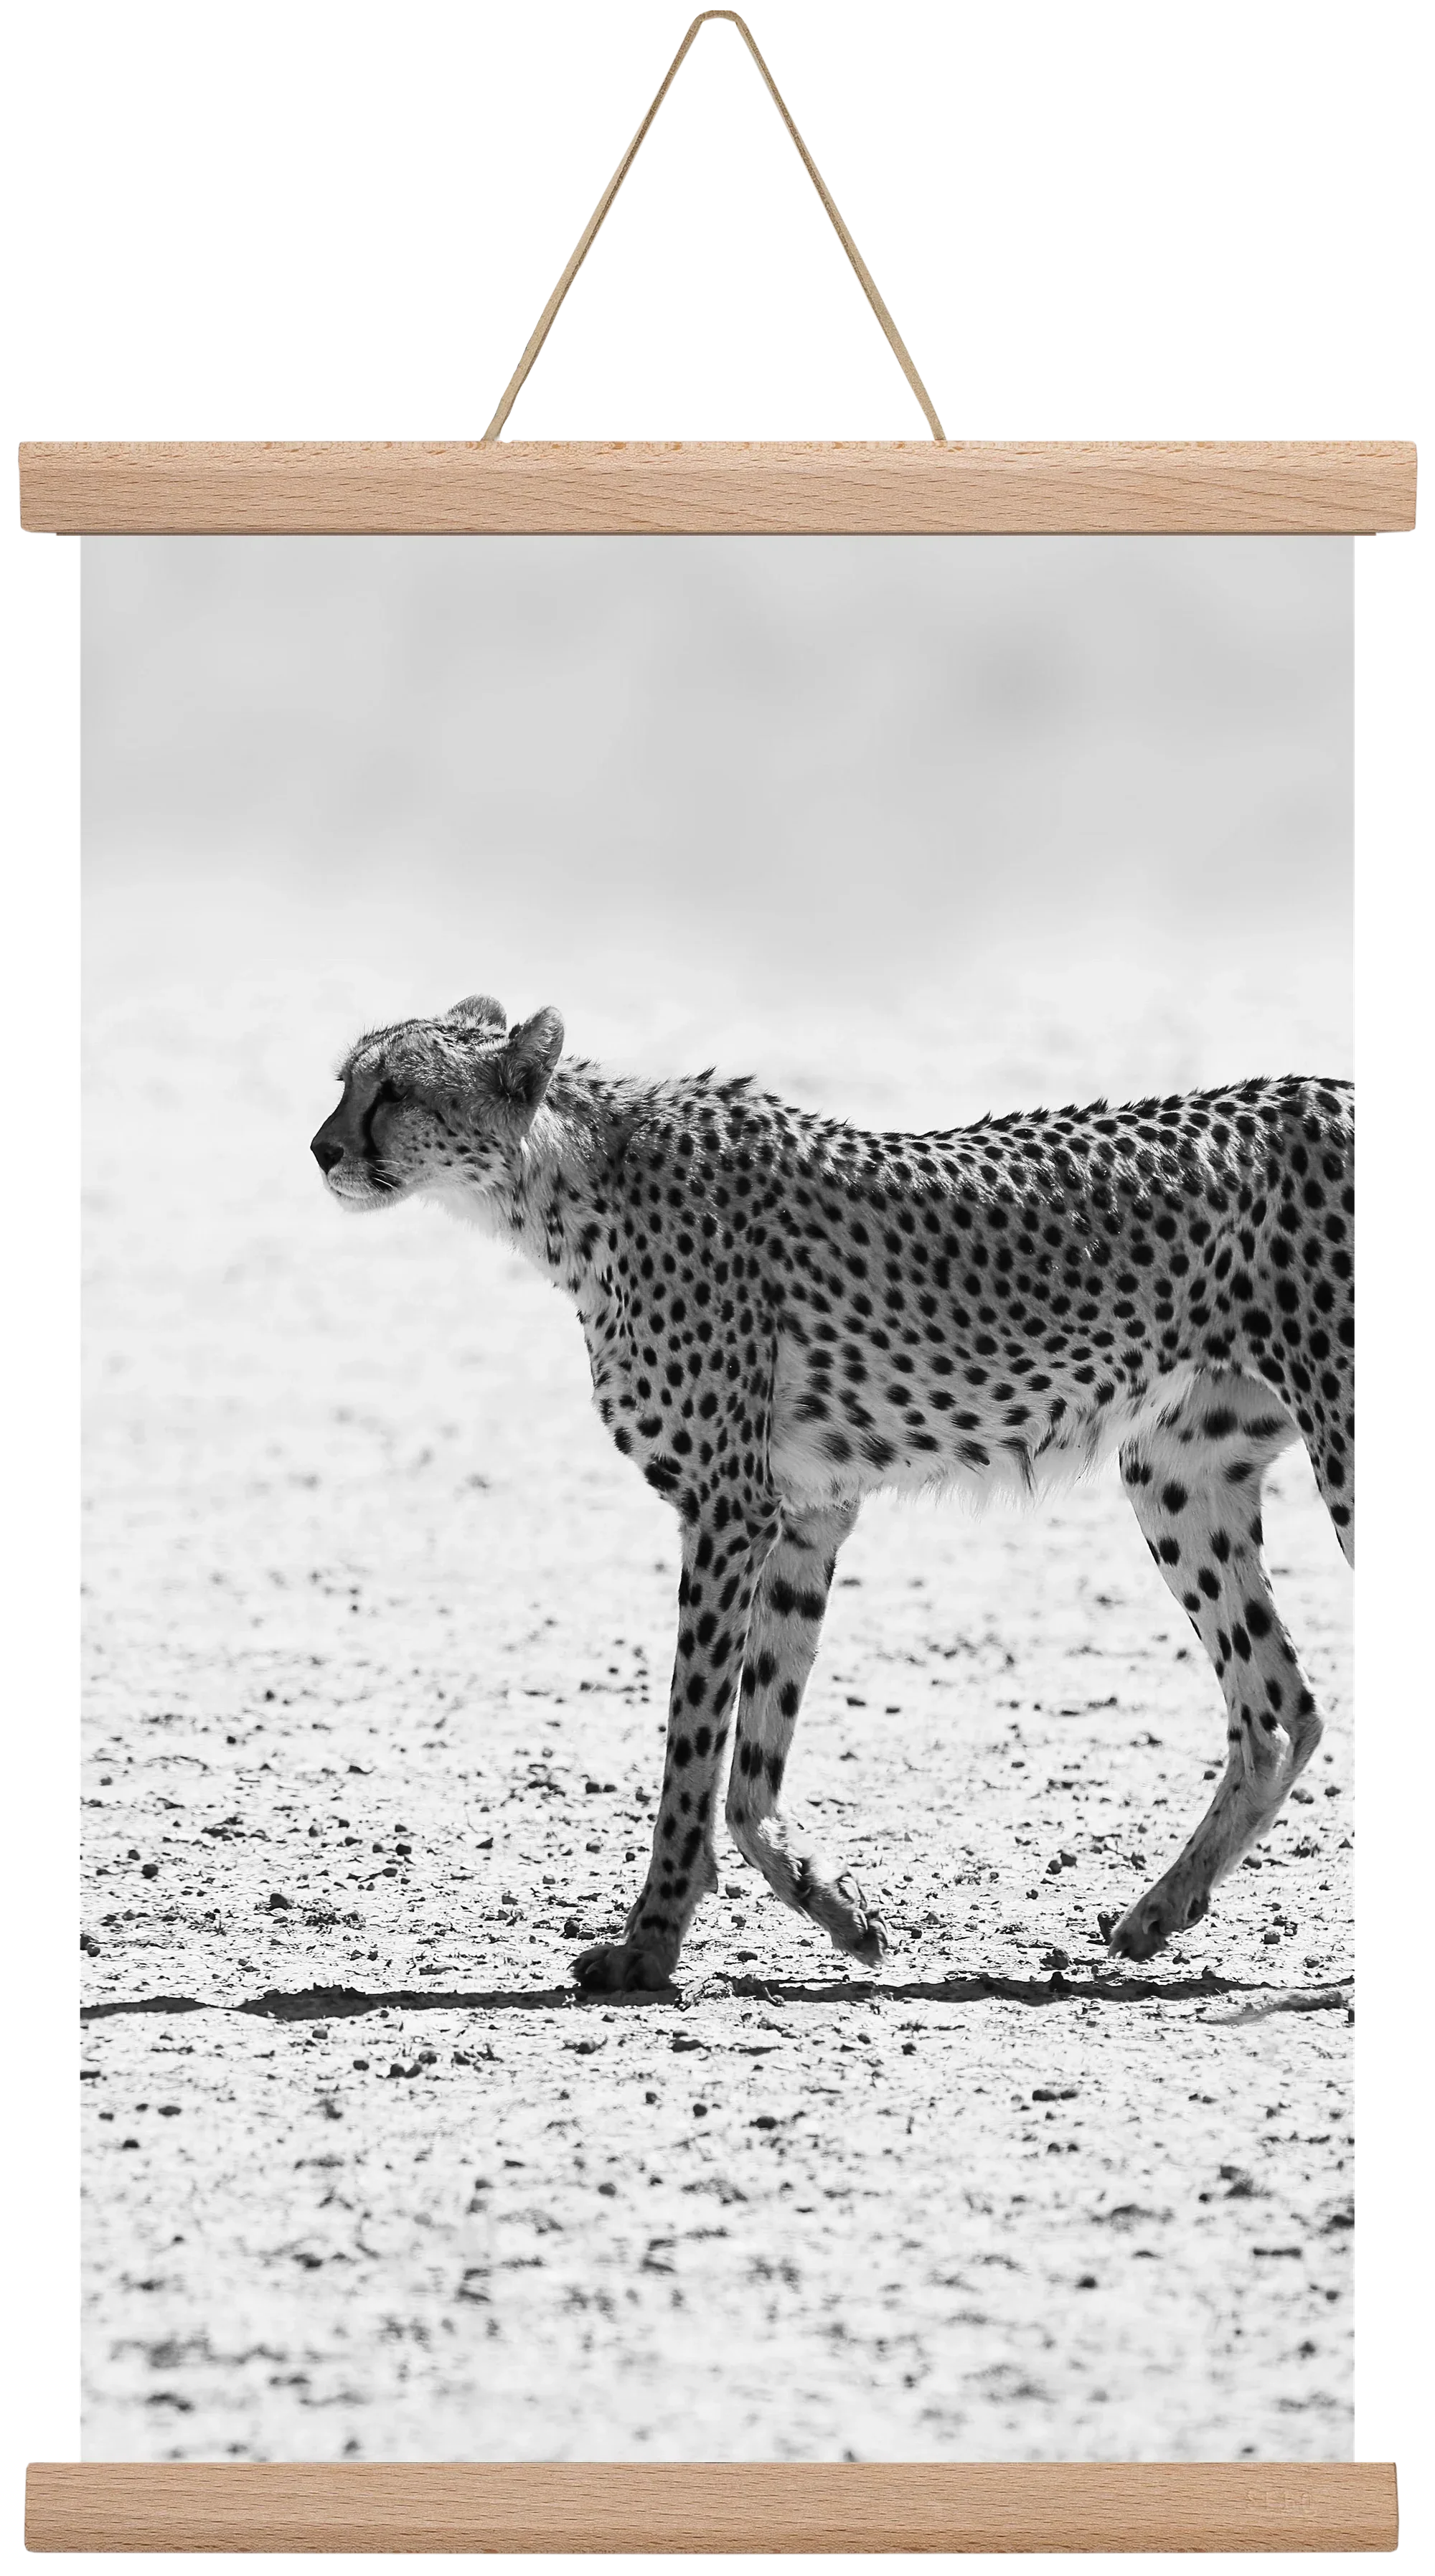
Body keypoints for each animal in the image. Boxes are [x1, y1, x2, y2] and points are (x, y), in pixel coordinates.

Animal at [311, 995, 1359, 1994]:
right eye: (344, 1081)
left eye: (395, 1090)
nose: (321, 1148)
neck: (564, 1180)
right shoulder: (805, 1512)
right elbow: (751, 1762)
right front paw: (837, 1908)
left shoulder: (727, 1509)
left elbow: (692, 1748)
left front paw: (648, 1945)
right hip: (1175, 1472)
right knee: (1278, 1708)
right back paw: (1159, 1909)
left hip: (1339, 1453)